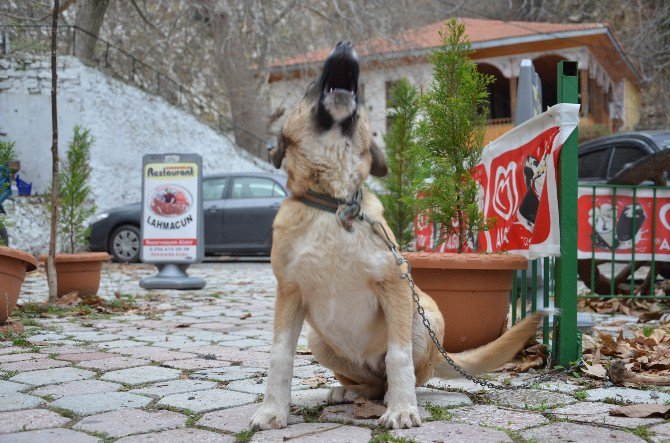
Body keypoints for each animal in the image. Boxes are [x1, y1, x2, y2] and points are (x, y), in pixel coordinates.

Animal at [249, 40, 544, 430]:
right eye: (309, 85)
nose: (345, 44)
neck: (336, 204)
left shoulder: (395, 285)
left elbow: (398, 357)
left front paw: (403, 409)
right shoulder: (289, 293)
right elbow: (280, 356)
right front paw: (272, 410)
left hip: (424, 317)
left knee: (402, 375)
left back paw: (395, 396)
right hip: (317, 338)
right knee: (370, 383)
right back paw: (348, 390)